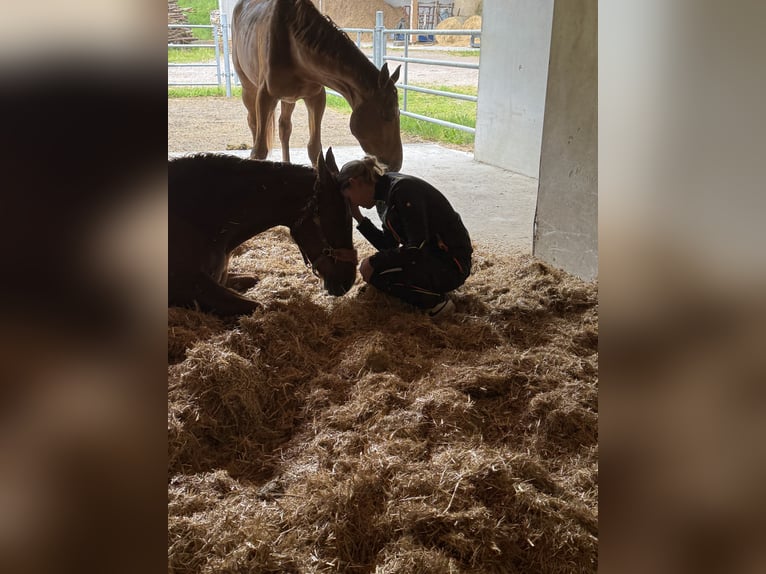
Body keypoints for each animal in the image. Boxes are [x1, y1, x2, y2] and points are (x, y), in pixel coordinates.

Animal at [231, 0, 403, 171]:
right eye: (388, 115)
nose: (396, 164)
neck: (294, 47)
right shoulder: (265, 97)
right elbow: (259, 151)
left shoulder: (316, 98)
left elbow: (314, 150)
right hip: (249, 90)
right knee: (253, 122)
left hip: (288, 98)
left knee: (284, 128)